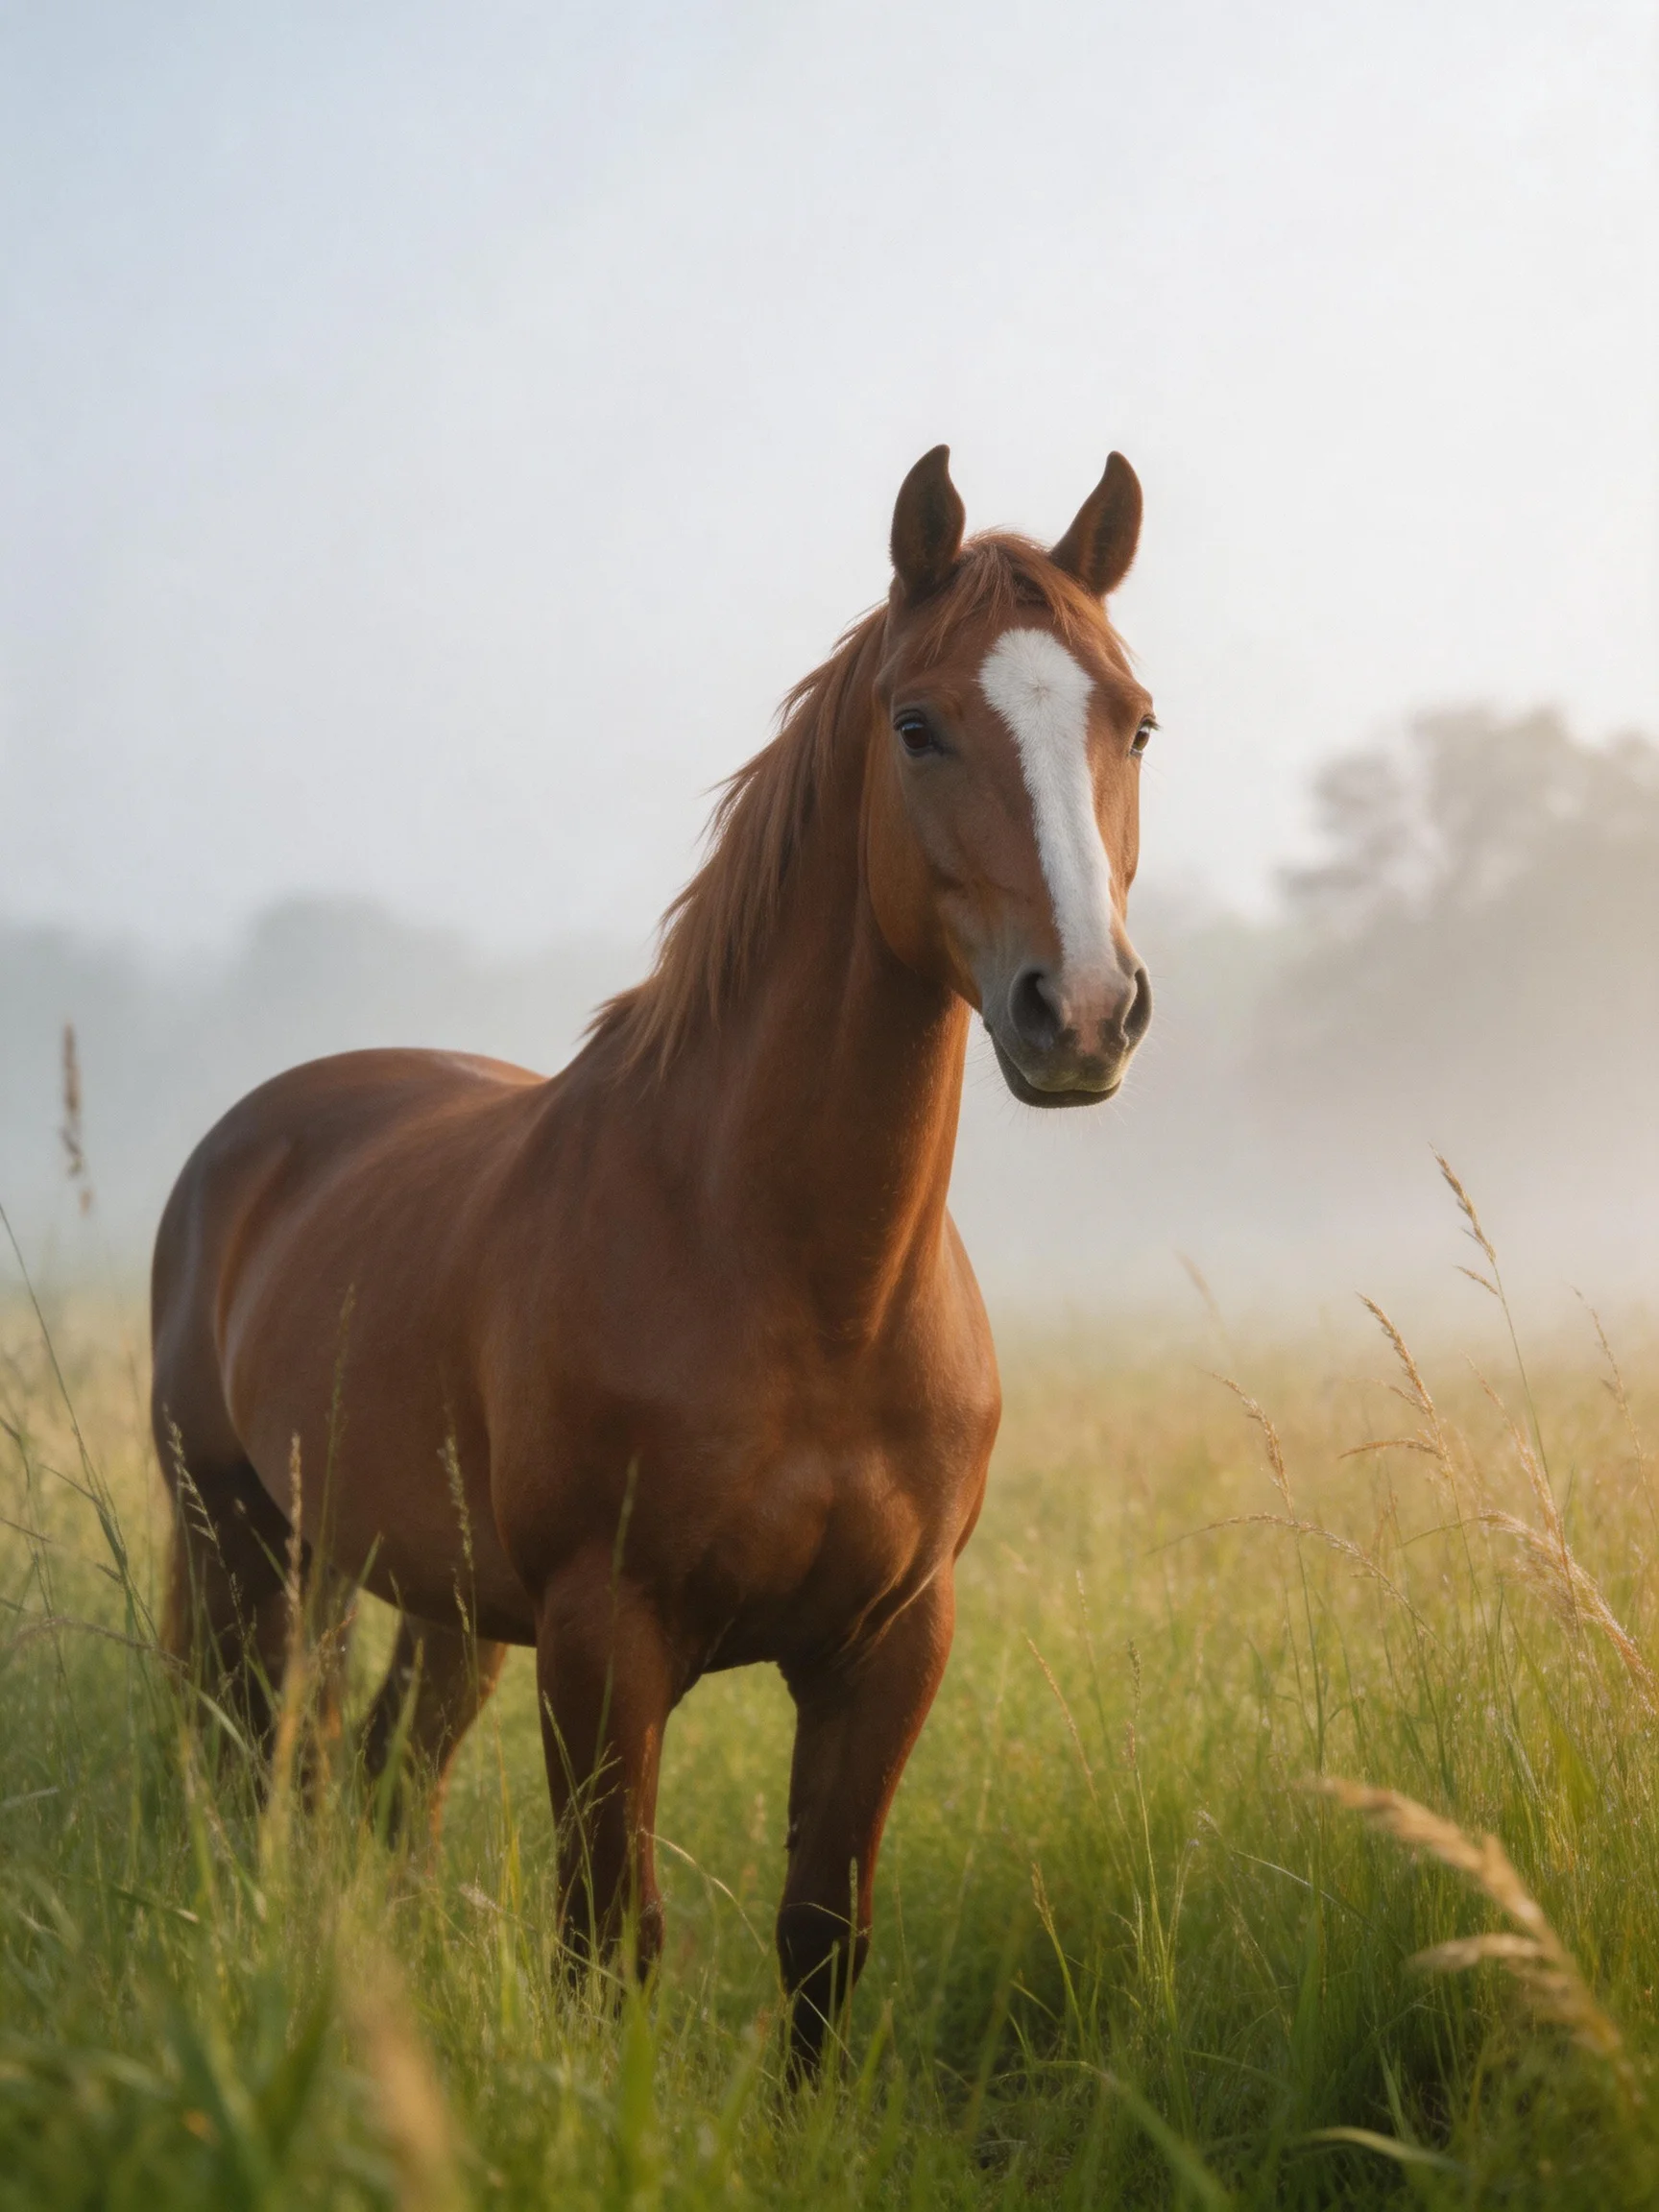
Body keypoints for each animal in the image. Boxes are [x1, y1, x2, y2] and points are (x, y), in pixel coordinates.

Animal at [150, 443, 1157, 2071]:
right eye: (919, 725)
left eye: (1133, 719)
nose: (1077, 1012)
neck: (793, 1277)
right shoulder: (604, 1640)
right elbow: (610, 1943)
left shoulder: (888, 1647)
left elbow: (820, 1946)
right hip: (241, 1539)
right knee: (249, 1767)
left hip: (434, 1603)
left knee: (381, 1783)